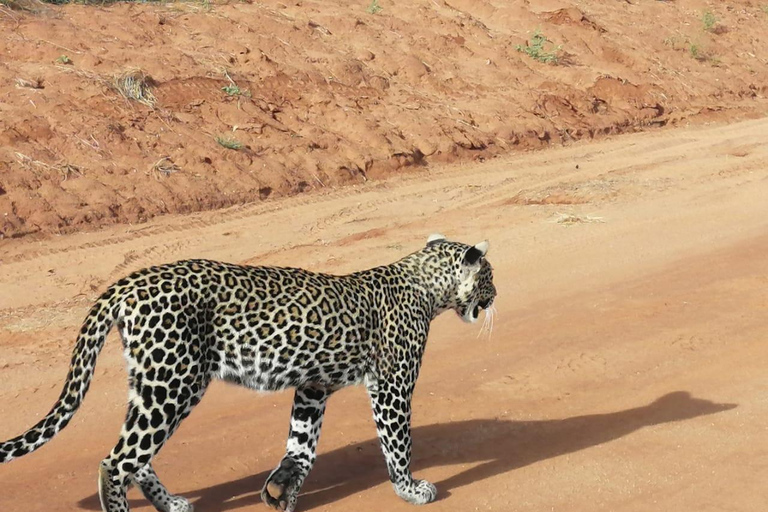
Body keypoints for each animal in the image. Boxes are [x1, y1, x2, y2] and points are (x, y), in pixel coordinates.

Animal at [0, 234, 498, 510]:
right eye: (489, 276)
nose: (495, 296)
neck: (427, 287)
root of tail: (128, 282)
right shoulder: (391, 384)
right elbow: (398, 444)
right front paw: (410, 490)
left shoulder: (313, 387)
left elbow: (301, 444)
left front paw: (282, 490)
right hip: (174, 382)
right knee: (116, 461)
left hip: (154, 381)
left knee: (136, 455)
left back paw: (171, 504)